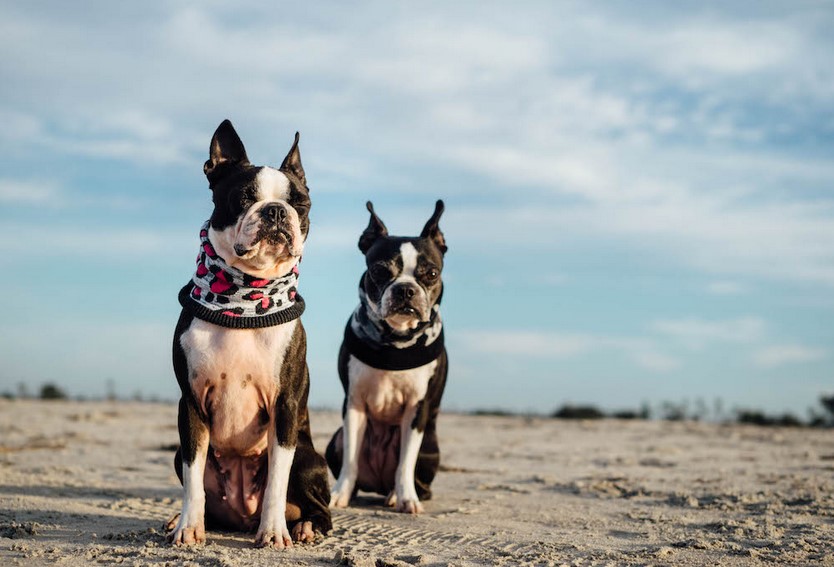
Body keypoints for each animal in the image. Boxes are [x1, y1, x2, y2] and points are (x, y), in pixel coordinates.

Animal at [166, 121, 332, 552]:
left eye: (301, 204)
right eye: (243, 198)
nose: (275, 210)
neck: (245, 298)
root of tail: (242, 516)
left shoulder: (285, 406)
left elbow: (276, 481)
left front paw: (273, 532)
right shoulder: (191, 406)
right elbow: (193, 480)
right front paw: (188, 528)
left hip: (308, 459)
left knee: (317, 506)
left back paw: (304, 526)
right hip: (179, 453)